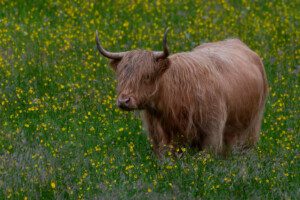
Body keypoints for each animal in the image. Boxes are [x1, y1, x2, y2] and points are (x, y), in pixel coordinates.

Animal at [95, 28, 268, 155]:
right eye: (121, 75)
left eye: (147, 75)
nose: (124, 101)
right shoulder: (159, 139)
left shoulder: (212, 134)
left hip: (251, 130)